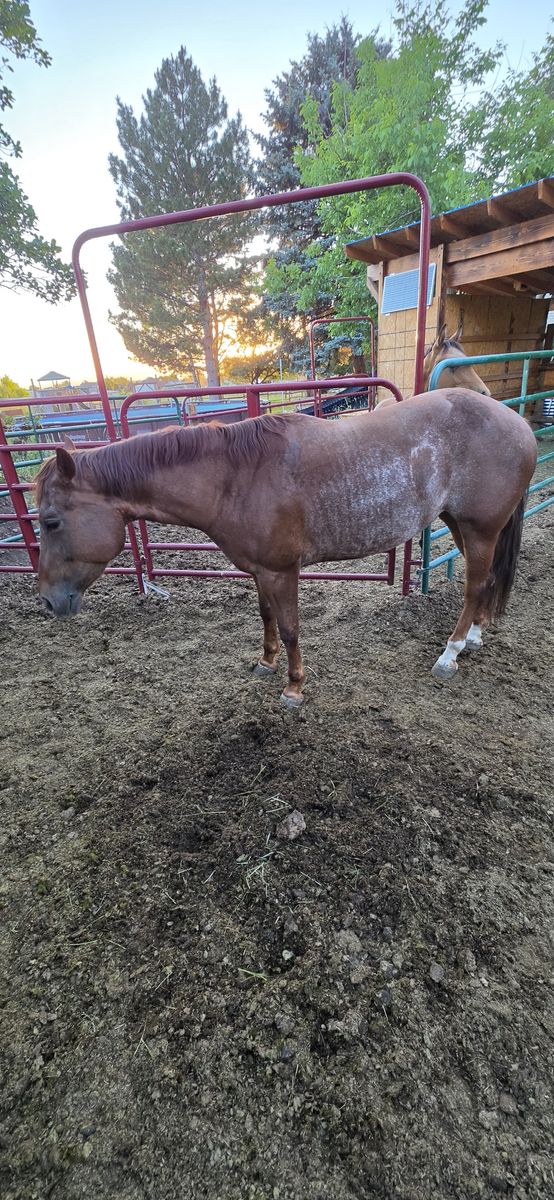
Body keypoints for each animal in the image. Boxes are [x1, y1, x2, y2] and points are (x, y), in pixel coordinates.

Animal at [35, 389, 537, 707]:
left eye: (51, 521)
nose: (48, 601)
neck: (236, 477)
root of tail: (519, 423)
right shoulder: (260, 570)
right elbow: (266, 617)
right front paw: (265, 662)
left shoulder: (283, 570)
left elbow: (293, 627)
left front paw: (294, 688)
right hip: (460, 524)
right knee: (486, 582)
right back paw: (474, 638)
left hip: (478, 529)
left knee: (474, 588)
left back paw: (450, 653)